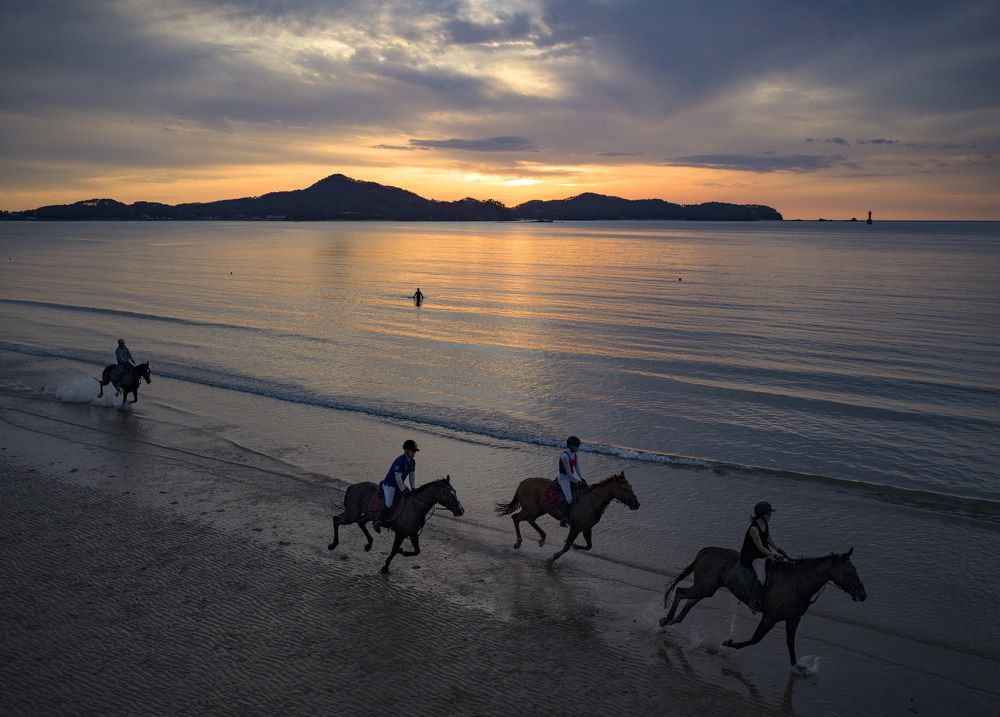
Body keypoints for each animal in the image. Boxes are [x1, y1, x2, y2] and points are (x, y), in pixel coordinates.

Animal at [327, 476, 464, 574]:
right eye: (450, 494)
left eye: (455, 492)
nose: (461, 510)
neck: (415, 507)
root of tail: (354, 486)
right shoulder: (401, 533)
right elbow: (394, 550)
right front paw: (385, 566)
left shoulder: (413, 533)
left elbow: (416, 551)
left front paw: (400, 552)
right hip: (352, 514)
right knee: (336, 520)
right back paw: (333, 544)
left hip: (367, 515)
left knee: (360, 522)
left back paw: (369, 544)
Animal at [495, 471, 640, 567]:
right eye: (625, 489)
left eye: (631, 487)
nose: (636, 504)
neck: (592, 501)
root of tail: (522, 483)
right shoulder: (575, 528)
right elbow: (566, 547)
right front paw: (551, 559)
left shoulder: (586, 528)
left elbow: (589, 546)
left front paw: (575, 546)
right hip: (531, 509)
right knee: (516, 518)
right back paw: (519, 542)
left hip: (539, 510)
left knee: (529, 520)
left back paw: (542, 538)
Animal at [659, 547, 867, 666]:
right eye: (850, 572)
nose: (863, 595)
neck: (798, 583)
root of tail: (707, 550)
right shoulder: (770, 617)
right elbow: (755, 639)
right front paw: (729, 643)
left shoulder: (793, 619)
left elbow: (790, 642)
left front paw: (797, 667)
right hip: (705, 586)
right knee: (680, 592)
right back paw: (665, 620)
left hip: (707, 588)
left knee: (689, 601)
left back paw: (673, 620)